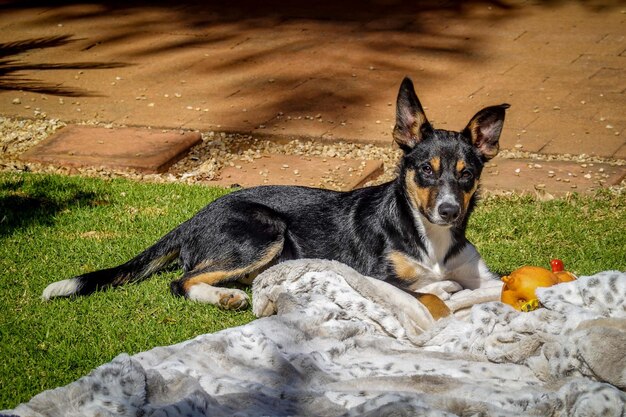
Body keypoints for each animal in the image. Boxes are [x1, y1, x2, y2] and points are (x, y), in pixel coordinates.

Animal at [44, 77, 510, 312]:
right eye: (425, 171)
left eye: (467, 175)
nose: (449, 211)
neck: (430, 239)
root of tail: (195, 216)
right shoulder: (376, 276)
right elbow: (428, 290)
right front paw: (443, 290)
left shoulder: (482, 275)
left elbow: (497, 285)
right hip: (264, 231)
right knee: (181, 282)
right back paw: (224, 297)